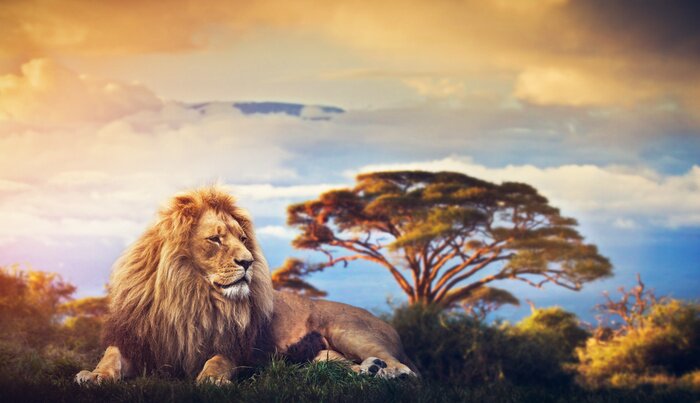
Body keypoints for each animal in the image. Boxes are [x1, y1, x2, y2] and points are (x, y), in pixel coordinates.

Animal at [76, 187, 417, 385]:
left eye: (242, 238)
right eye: (215, 239)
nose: (248, 261)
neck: (189, 296)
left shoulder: (237, 348)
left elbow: (218, 360)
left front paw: (212, 380)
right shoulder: (138, 341)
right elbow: (111, 358)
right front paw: (93, 375)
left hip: (349, 331)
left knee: (410, 370)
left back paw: (390, 372)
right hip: (324, 355)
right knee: (335, 367)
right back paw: (368, 370)